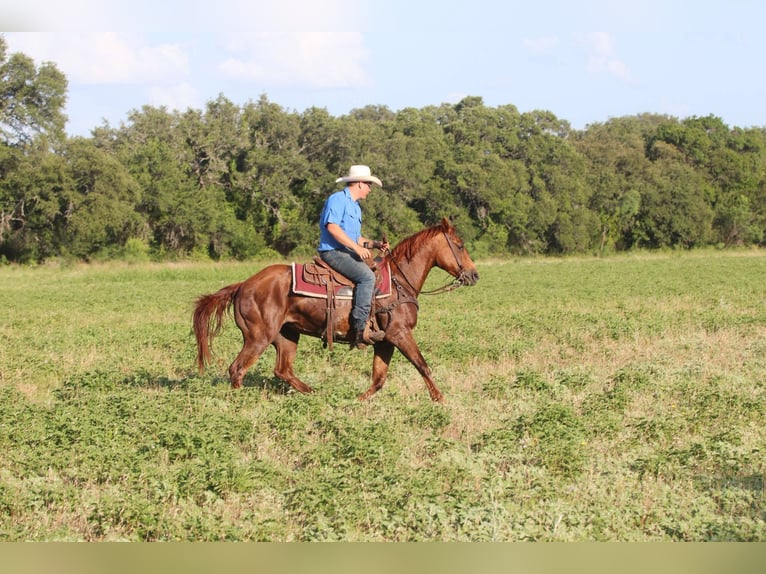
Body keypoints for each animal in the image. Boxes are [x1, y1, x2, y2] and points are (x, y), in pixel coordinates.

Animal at [192, 217, 479, 402]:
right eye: (460, 245)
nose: (474, 275)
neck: (400, 281)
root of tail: (242, 285)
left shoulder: (385, 341)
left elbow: (378, 379)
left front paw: (356, 403)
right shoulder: (400, 334)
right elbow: (423, 366)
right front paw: (440, 400)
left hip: (287, 335)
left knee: (282, 370)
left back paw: (313, 394)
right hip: (258, 337)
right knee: (237, 369)